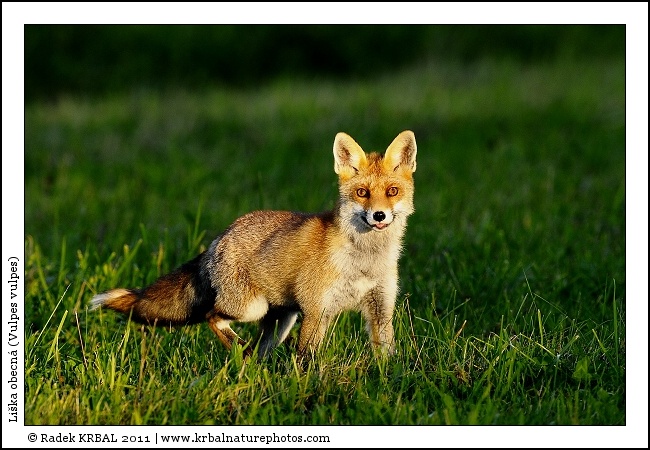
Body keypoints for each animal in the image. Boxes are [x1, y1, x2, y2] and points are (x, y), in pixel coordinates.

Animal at [91, 130, 417, 359]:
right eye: (362, 192)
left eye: (392, 191)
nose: (378, 215)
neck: (364, 263)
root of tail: (222, 235)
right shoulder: (316, 312)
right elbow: (308, 361)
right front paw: (310, 386)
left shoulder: (381, 309)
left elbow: (386, 355)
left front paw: (390, 380)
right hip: (251, 308)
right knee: (212, 317)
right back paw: (239, 348)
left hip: (281, 321)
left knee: (258, 350)